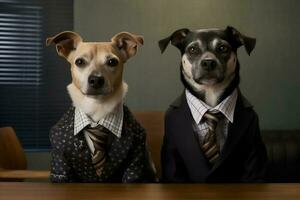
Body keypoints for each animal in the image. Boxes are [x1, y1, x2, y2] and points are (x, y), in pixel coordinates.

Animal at [159, 26, 268, 183]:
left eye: (223, 48)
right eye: (193, 49)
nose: (208, 62)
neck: (211, 96)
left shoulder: (253, 147)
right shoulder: (172, 151)